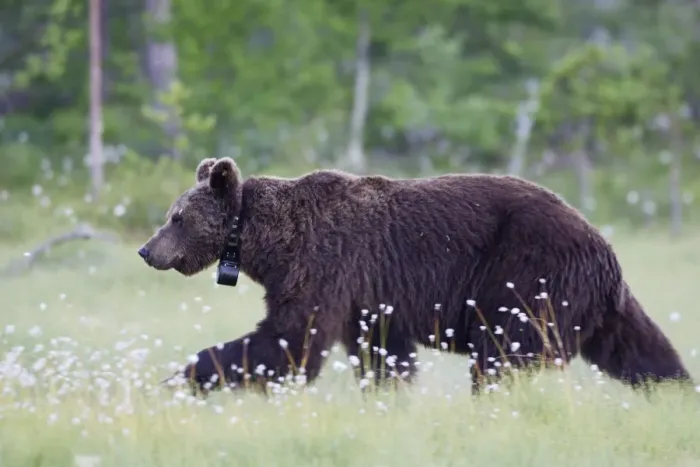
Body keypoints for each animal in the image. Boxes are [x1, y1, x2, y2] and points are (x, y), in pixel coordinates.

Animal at [137, 156, 692, 396]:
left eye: (177, 218)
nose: (147, 250)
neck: (267, 241)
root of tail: (603, 245)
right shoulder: (369, 295)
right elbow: (382, 352)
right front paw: (389, 393)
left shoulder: (326, 264)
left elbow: (290, 339)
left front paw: (180, 377)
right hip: (595, 302)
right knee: (639, 349)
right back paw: (676, 391)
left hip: (529, 276)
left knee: (502, 355)